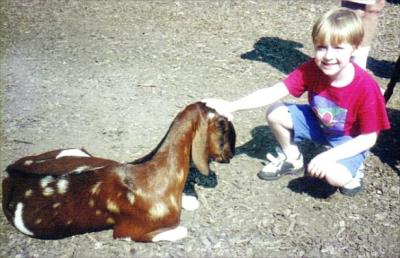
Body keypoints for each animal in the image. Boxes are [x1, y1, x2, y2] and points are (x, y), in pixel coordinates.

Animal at [2, 102, 234, 242]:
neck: (156, 176)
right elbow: (182, 230)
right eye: (223, 129)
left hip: (78, 153)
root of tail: (10, 172)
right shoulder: (129, 231)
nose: (229, 156)